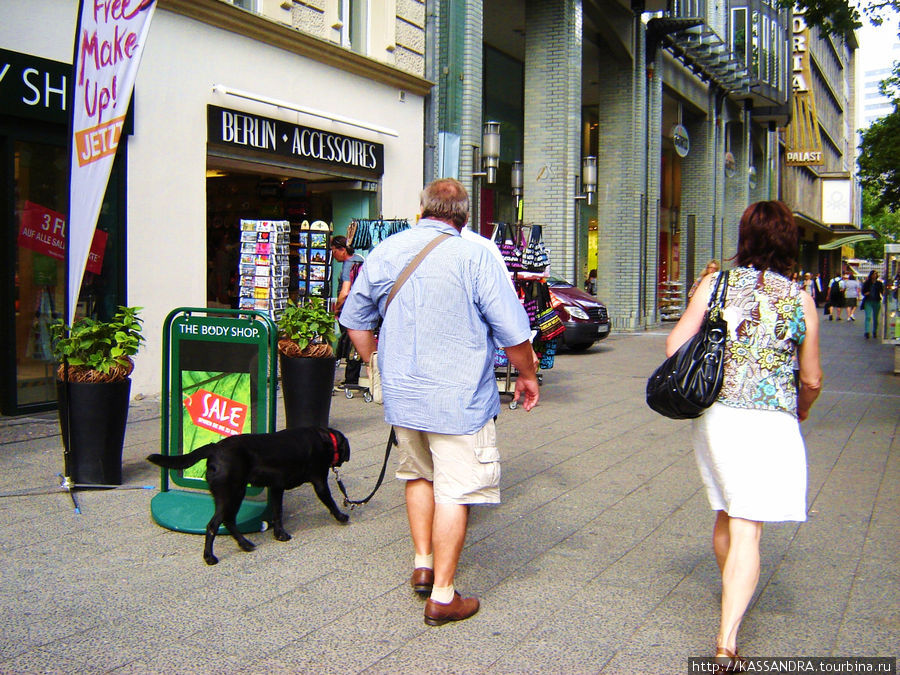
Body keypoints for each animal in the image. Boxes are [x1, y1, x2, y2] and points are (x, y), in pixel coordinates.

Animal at [148, 428, 348, 564]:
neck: (325, 439)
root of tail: (214, 448)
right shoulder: (319, 482)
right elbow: (330, 502)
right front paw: (342, 516)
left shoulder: (276, 488)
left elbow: (277, 513)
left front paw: (280, 534)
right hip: (232, 493)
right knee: (214, 524)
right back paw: (210, 557)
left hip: (229, 495)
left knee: (228, 521)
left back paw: (244, 544)